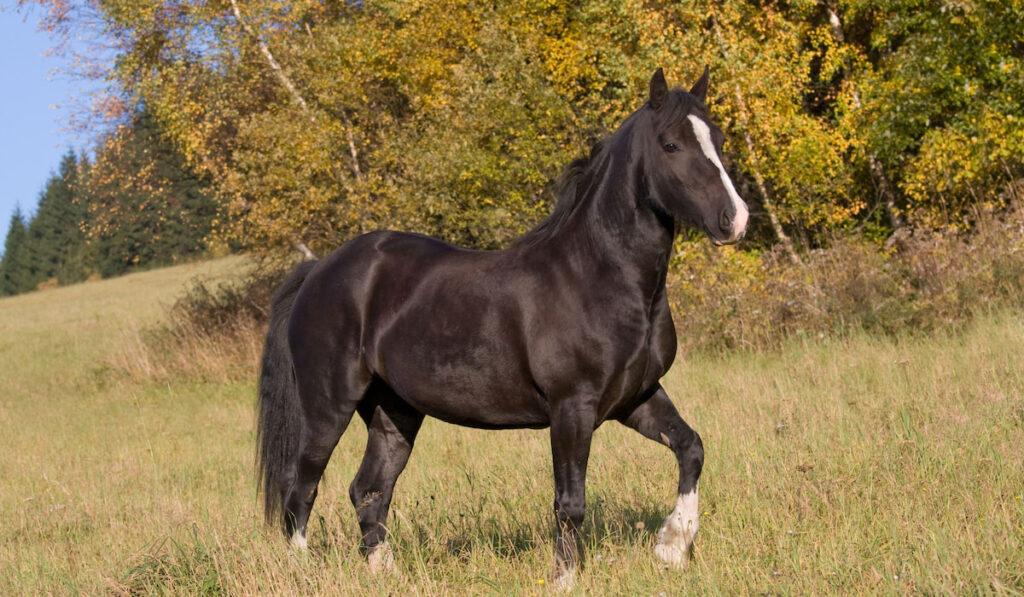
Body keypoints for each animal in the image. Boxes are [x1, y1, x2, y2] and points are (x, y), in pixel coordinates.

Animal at [256, 67, 753, 585]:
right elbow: (570, 502)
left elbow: (691, 447)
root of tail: (319, 270)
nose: (735, 220)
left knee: (369, 490)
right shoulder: (572, 408)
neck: (598, 275)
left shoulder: (637, 397)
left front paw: (673, 545)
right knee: (301, 489)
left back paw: (385, 573)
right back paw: (301, 572)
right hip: (327, 407)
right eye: (671, 144)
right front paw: (564, 580)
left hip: (393, 412)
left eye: (718, 139)